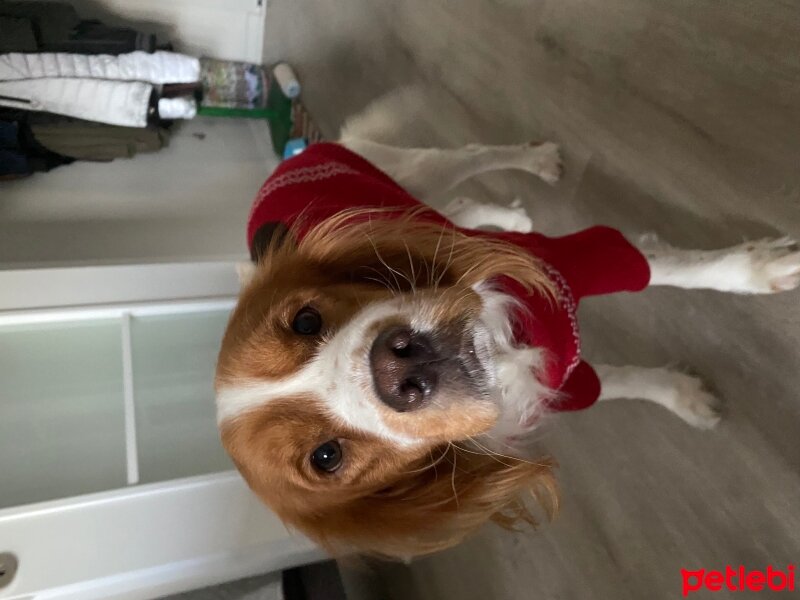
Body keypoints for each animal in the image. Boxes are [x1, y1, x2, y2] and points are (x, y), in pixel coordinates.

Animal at [216, 104, 800, 564]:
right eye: (326, 457)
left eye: (306, 319)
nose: (396, 365)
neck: (501, 351)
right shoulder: (558, 382)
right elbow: (622, 380)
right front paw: (682, 396)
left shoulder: (570, 260)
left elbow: (678, 268)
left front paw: (759, 271)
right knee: (460, 206)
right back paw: (507, 213)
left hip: (412, 170)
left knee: (471, 159)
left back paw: (533, 166)